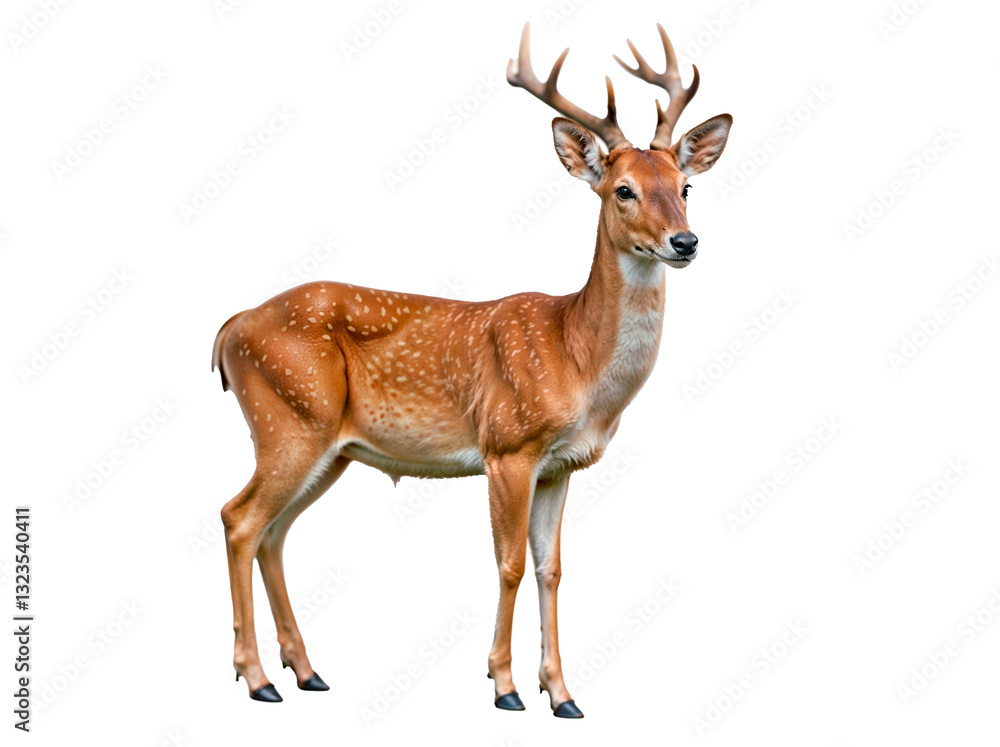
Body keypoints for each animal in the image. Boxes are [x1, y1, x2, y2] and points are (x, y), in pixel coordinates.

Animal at [212, 22, 731, 716]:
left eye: (685, 187)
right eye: (622, 190)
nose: (685, 242)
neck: (575, 359)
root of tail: (229, 328)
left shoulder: (559, 465)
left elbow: (551, 568)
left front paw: (562, 693)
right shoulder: (507, 445)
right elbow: (508, 563)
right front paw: (505, 686)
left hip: (327, 445)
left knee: (274, 533)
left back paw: (305, 671)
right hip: (287, 419)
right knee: (239, 519)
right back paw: (257, 678)